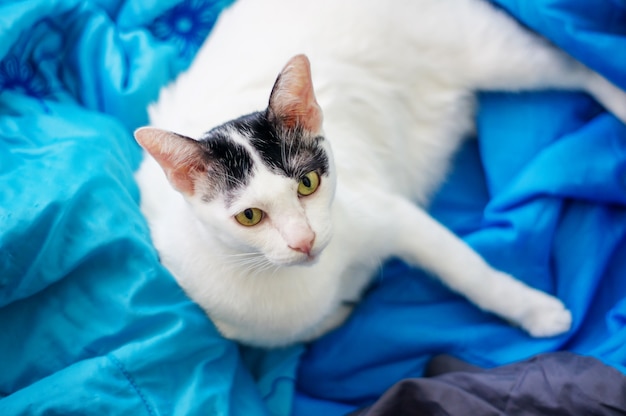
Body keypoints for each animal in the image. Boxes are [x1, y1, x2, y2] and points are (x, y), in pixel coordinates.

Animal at [134, 0, 624, 346]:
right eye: (249, 216)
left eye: (307, 183)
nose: (304, 241)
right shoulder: (233, 323)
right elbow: (309, 328)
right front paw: (347, 303)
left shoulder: (392, 216)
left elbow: (472, 273)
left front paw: (534, 311)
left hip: (490, 52)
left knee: (572, 62)